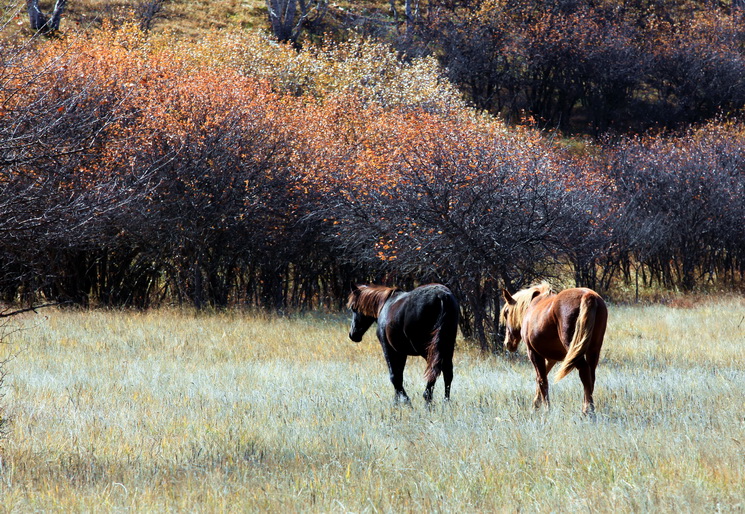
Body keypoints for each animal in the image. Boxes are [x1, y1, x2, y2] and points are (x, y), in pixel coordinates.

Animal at [500, 280, 604, 412]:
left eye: (506, 313)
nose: (507, 343)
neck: (533, 305)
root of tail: (588, 296)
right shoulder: (551, 358)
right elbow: (540, 378)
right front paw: (536, 404)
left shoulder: (534, 353)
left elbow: (542, 380)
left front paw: (546, 408)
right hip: (593, 350)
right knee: (591, 376)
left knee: (584, 371)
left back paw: (587, 411)